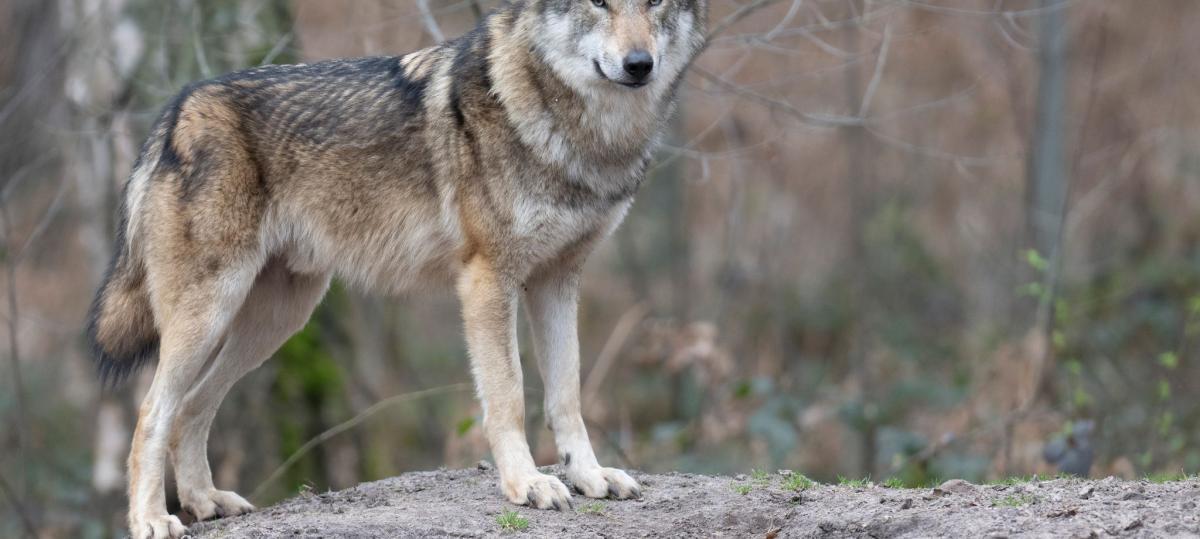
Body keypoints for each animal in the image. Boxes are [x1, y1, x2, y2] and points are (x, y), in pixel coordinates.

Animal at [86, 0, 706, 536]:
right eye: (598, 3)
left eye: (654, 3)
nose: (639, 64)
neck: (581, 134)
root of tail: (176, 110)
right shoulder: (488, 280)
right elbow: (509, 395)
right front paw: (527, 484)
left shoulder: (558, 281)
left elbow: (566, 395)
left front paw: (588, 476)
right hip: (212, 313)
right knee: (152, 413)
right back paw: (152, 520)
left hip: (276, 321)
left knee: (192, 409)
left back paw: (205, 501)